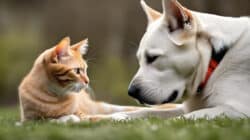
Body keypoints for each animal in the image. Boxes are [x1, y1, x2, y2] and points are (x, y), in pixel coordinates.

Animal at [18, 37, 146, 122]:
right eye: (77, 71)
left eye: (85, 69)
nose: (87, 81)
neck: (55, 97)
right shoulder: (31, 121)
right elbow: (57, 119)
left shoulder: (83, 114)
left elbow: (97, 117)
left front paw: (119, 117)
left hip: (101, 106)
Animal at [113, 0, 250, 120]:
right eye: (139, 60)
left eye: (152, 58)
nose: (131, 92)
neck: (215, 58)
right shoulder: (183, 108)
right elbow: (148, 112)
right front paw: (118, 117)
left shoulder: (237, 110)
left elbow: (177, 119)